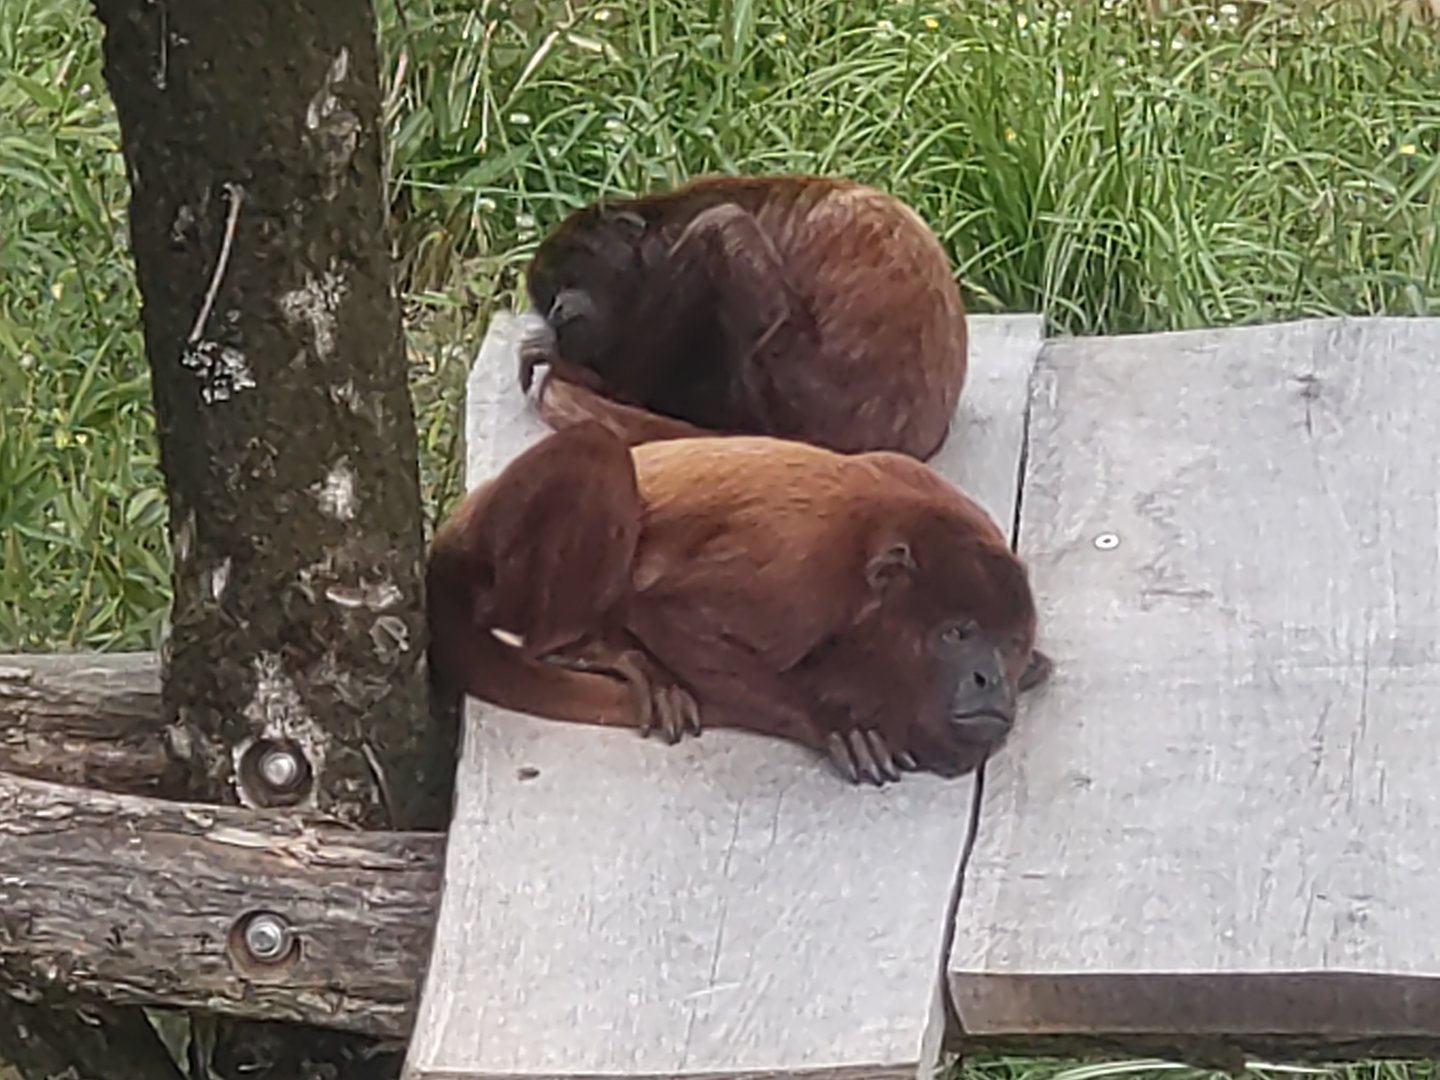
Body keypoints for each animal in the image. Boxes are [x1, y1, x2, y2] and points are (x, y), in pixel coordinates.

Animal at [425, 427, 1051, 785]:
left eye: (1007, 644)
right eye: (957, 634)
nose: (991, 679)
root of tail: (461, 522)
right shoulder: (800, 576)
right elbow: (670, 613)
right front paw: (837, 722)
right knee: (593, 449)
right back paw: (585, 646)